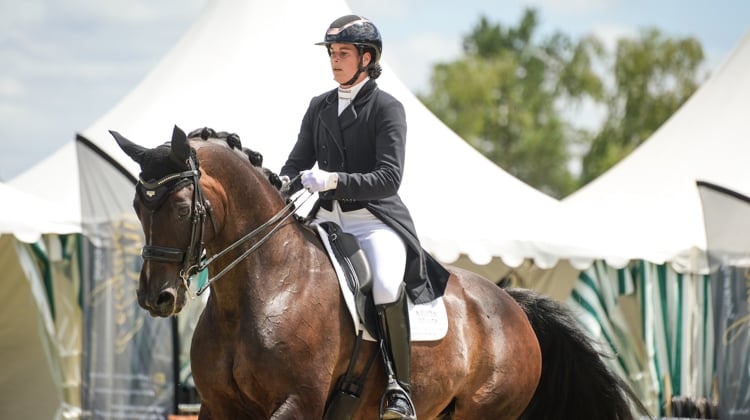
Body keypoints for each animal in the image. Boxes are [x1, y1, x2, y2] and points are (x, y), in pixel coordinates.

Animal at [110, 126, 648, 418]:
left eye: (182, 207)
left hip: (484, 412)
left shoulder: (296, 404)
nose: (156, 298)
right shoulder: (218, 408)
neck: (262, 288)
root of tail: (512, 304)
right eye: (136, 205)